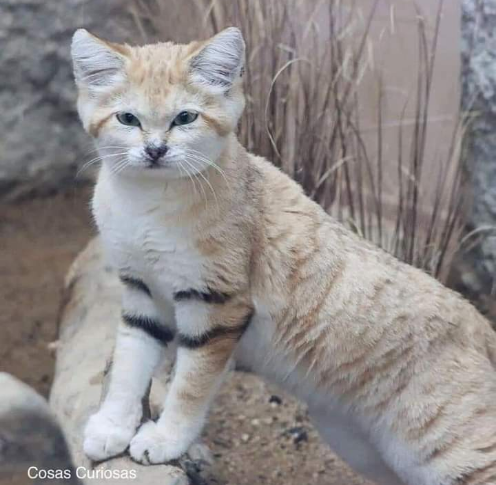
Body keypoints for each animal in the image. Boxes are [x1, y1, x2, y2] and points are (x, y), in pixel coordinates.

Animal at [71, 27, 496, 484]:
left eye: (185, 118)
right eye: (127, 119)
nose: (154, 151)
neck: (146, 203)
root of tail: (482, 326)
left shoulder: (216, 305)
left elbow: (189, 385)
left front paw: (166, 438)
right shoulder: (143, 293)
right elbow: (129, 363)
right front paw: (111, 426)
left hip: (451, 452)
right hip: (366, 448)